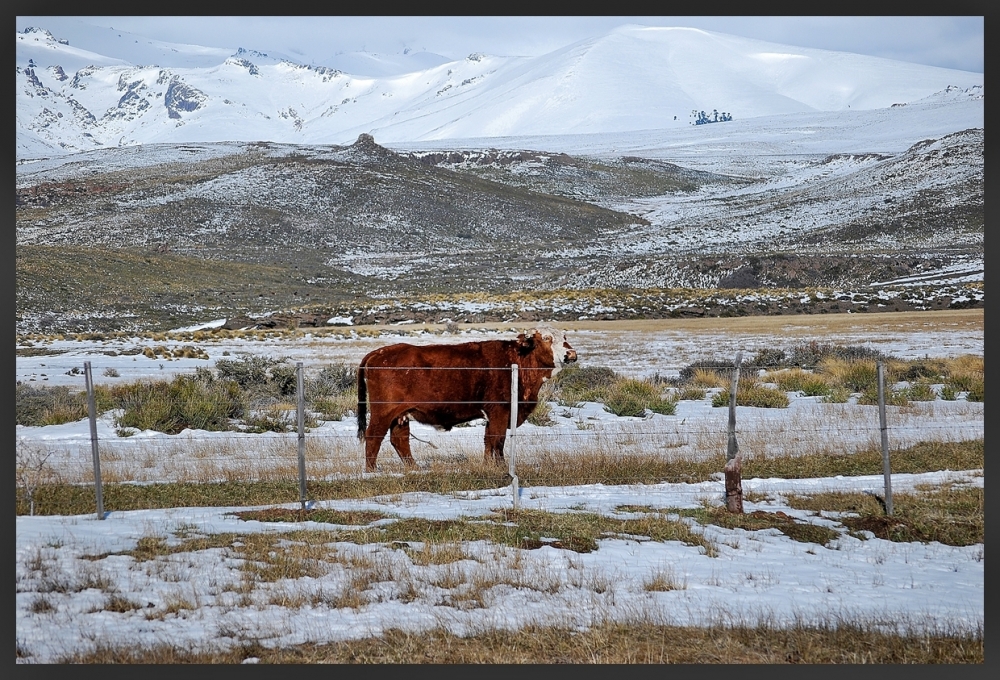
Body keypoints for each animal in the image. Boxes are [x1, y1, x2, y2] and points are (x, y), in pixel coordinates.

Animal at [358, 330, 580, 472]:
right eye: (547, 338)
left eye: (565, 337)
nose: (571, 354)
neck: (517, 360)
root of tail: (378, 352)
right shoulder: (500, 411)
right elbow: (498, 441)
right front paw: (500, 467)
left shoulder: (492, 415)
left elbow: (488, 440)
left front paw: (487, 465)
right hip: (383, 413)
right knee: (373, 437)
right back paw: (372, 471)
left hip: (401, 415)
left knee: (399, 440)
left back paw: (415, 468)